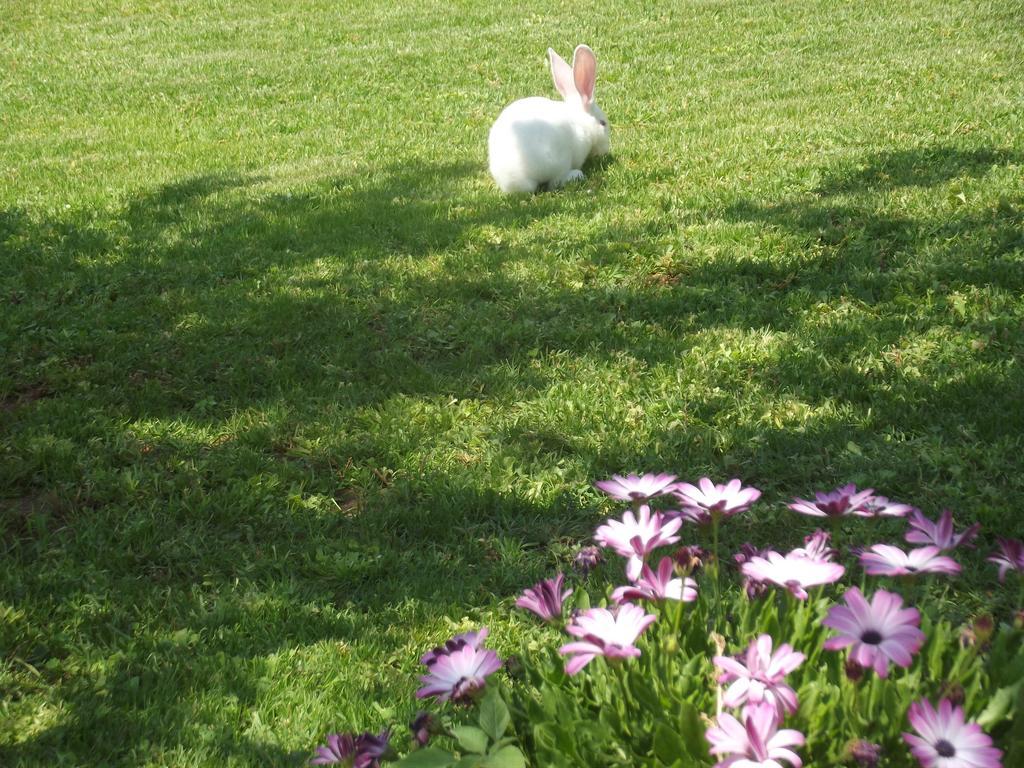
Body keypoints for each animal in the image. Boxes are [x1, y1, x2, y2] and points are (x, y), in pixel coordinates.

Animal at [487, 45, 606, 193]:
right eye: (603, 123)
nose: (606, 150)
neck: (582, 121)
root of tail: (510, 181)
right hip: (558, 162)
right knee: (554, 183)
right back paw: (577, 175)